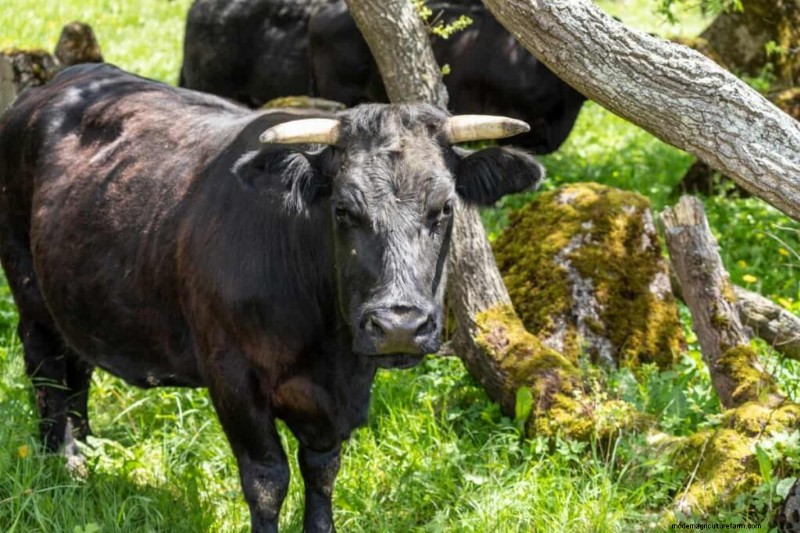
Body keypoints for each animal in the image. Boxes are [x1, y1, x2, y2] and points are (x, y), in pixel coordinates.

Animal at [0, 63, 543, 532]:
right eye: (343, 208)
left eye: (445, 206)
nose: (399, 326)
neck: (328, 350)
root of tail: (58, 85)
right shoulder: (232, 375)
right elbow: (266, 478)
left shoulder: (337, 397)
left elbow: (322, 469)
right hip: (29, 293)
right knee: (47, 372)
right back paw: (64, 462)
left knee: (78, 370)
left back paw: (89, 450)